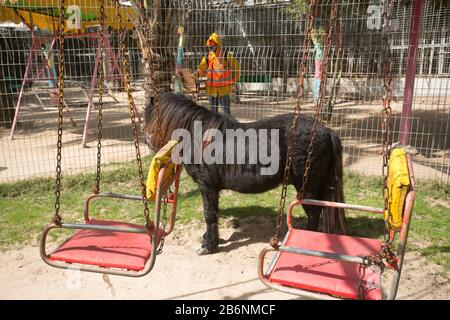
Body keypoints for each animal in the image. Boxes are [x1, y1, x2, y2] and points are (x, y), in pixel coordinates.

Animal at [144, 93, 348, 255]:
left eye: (150, 116)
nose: (147, 141)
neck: (199, 138)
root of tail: (326, 130)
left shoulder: (206, 186)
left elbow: (209, 214)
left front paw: (208, 247)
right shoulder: (213, 189)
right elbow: (214, 213)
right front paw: (210, 240)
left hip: (306, 187)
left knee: (314, 213)